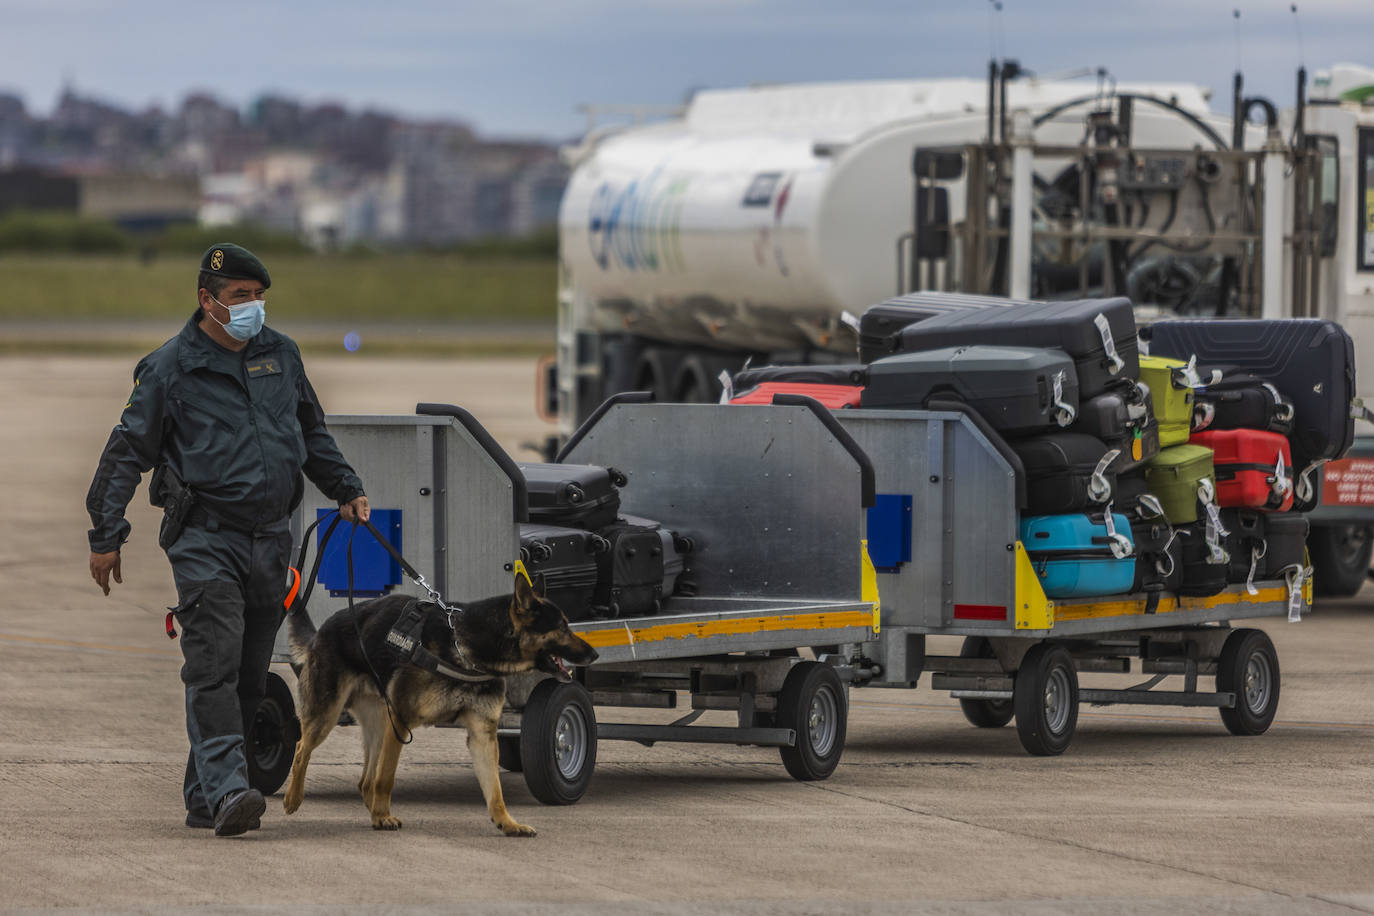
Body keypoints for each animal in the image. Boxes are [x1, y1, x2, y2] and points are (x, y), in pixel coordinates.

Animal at [280, 576, 596, 834]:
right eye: (562, 627)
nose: (593, 654)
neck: (466, 649)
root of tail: (322, 630)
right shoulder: (401, 722)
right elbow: (386, 778)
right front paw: (383, 816)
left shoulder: (482, 735)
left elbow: (495, 790)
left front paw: (507, 823)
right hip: (328, 713)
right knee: (303, 748)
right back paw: (294, 797)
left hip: (378, 723)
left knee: (365, 781)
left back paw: (370, 812)